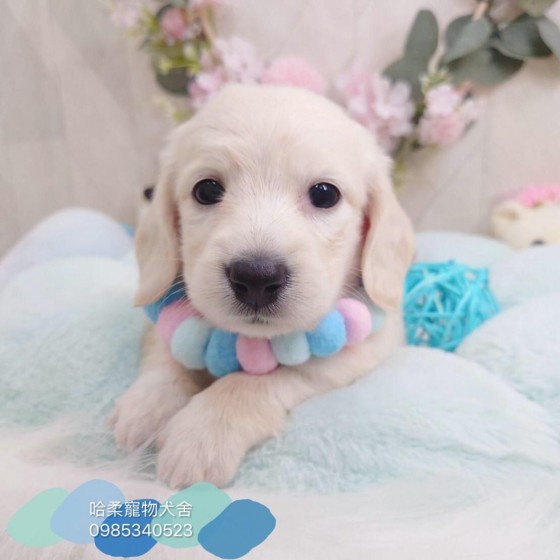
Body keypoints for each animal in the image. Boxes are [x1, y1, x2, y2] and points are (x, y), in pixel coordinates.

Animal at [109, 84, 415, 488]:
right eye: (206, 190)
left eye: (325, 194)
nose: (256, 277)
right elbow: (167, 353)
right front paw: (148, 404)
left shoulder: (362, 351)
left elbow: (264, 379)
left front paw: (201, 433)